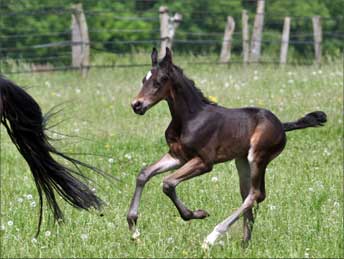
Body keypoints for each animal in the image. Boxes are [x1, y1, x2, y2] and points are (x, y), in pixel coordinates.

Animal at [127, 47, 328, 249]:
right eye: (143, 80)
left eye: (159, 81)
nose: (136, 105)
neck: (190, 118)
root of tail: (281, 125)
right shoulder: (177, 156)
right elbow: (144, 174)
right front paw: (134, 228)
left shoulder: (204, 162)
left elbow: (168, 183)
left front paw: (197, 214)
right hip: (242, 161)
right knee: (250, 195)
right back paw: (244, 244)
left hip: (258, 157)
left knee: (255, 194)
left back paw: (212, 237)